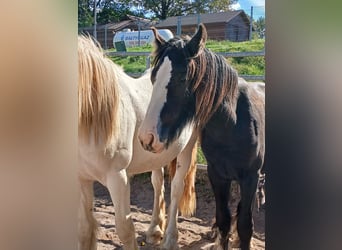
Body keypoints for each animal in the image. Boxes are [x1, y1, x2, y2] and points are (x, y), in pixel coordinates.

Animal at [77, 35, 198, 250]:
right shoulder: (82, 178)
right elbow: (84, 229)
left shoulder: (118, 178)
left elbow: (125, 229)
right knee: (158, 183)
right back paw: (155, 230)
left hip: (186, 148)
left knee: (177, 188)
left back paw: (170, 239)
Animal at [138, 23, 264, 250]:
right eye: (153, 78)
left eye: (181, 78)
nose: (146, 137)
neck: (232, 125)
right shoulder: (218, 175)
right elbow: (224, 218)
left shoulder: (251, 176)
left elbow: (245, 225)